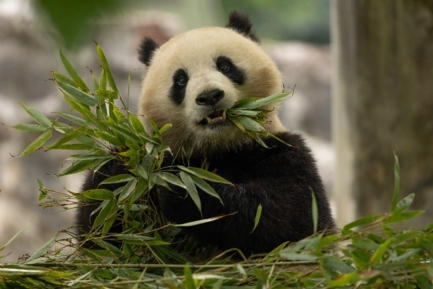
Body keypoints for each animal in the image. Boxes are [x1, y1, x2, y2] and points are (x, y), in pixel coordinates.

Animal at [76, 10, 336, 255]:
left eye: (225, 66)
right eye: (180, 80)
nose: (210, 96)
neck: (219, 148)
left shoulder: (282, 150)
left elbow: (292, 216)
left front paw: (185, 189)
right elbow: (100, 232)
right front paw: (121, 168)